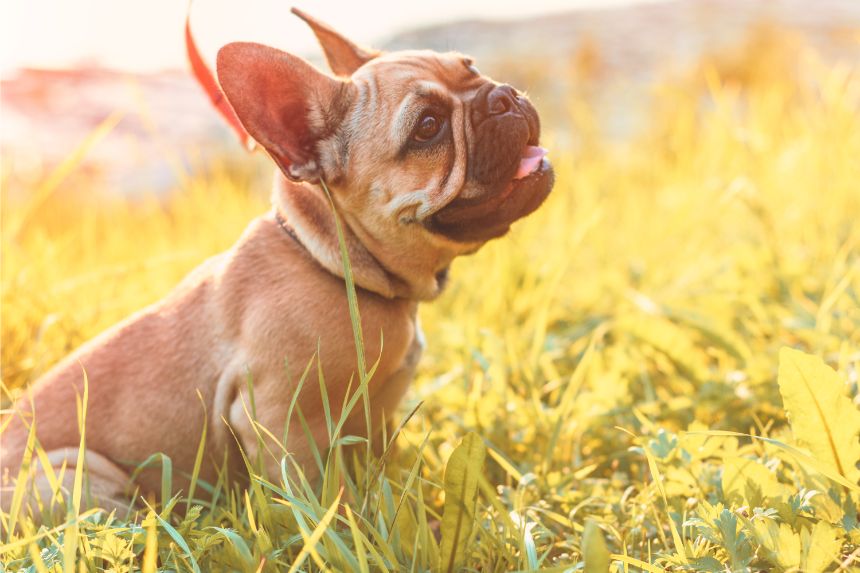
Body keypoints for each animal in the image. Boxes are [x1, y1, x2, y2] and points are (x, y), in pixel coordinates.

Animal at [0, 8, 556, 520]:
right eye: (427, 128)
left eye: (472, 68)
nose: (503, 97)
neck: (333, 264)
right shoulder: (281, 421)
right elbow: (320, 499)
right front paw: (339, 532)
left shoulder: (374, 421)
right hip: (71, 478)